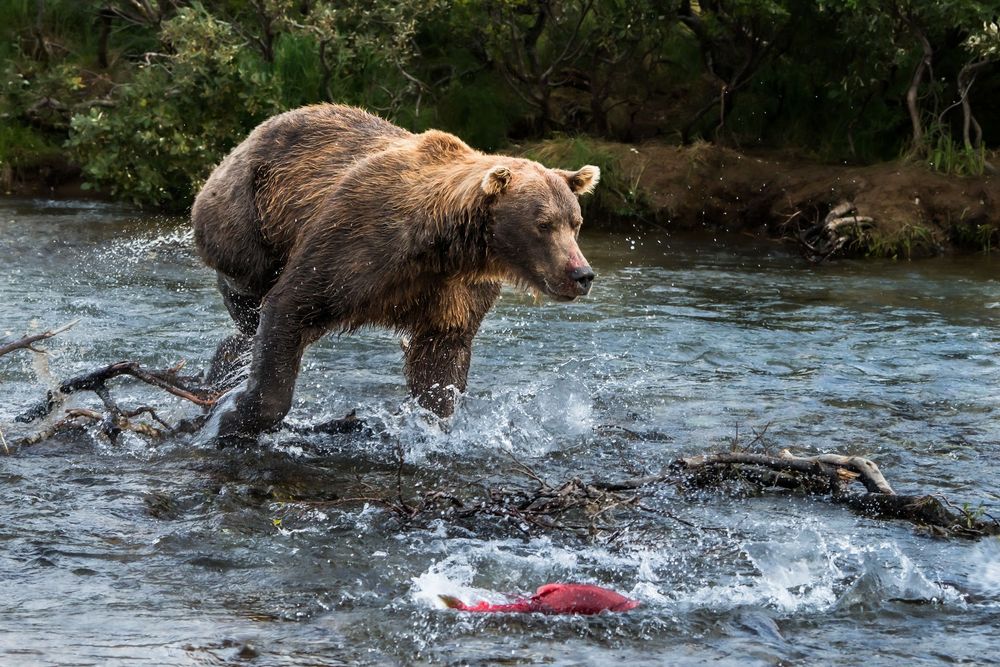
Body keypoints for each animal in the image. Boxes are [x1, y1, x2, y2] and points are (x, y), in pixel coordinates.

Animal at [191, 104, 599, 440]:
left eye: (576, 222)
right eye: (543, 224)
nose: (581, 274)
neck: (445, 247)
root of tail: (254, 133)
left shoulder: (454, 291)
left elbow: (440, 358)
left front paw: (433, 421)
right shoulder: (357, 244)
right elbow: (292, 304)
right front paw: (236, 417)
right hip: (244, 215)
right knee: (248, 297)